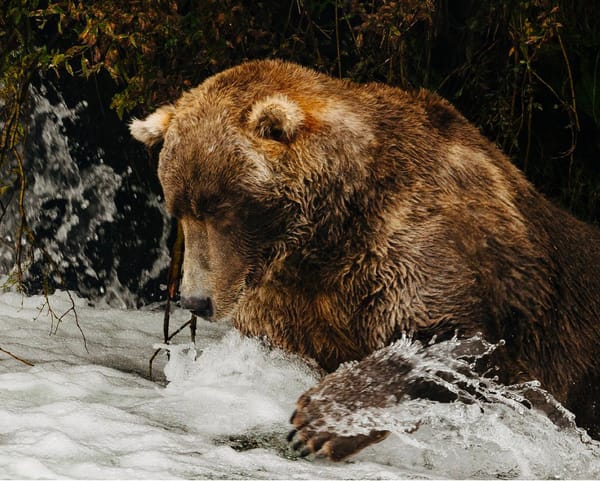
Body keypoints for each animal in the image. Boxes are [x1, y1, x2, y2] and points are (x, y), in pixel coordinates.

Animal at [130, 58, 600, 460]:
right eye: (180, 208)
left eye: (223, 209)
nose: (195, 300)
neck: (330, 232)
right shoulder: (289, 294)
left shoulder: (417, 242)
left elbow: (452, 338)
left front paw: (320, 424)